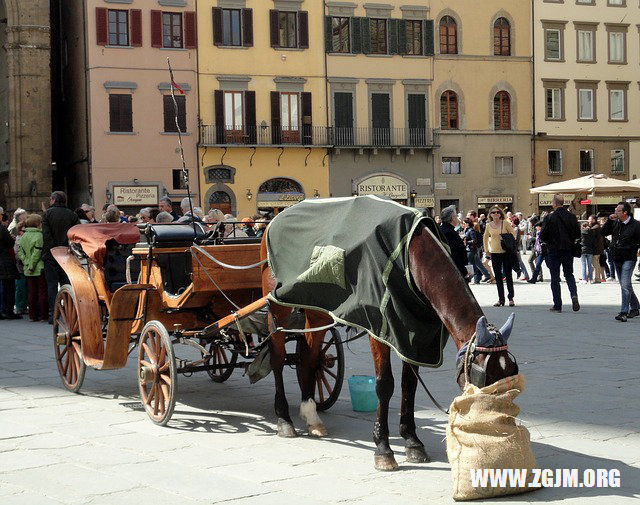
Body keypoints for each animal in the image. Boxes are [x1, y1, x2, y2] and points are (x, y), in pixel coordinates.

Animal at [258, 219, 516, 470]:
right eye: (483, 377)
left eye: (510, 375)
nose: (499, 428)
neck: (410, 256)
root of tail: (271, 222)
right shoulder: (378, 329)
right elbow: (385, 385)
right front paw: (383, 448)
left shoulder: (413, 336)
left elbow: (409, 385)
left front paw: (412, 442)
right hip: (278, 307)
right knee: (278, 358)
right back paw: (284, 419)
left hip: (317, 309)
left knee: (309, 356)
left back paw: (311, 415)